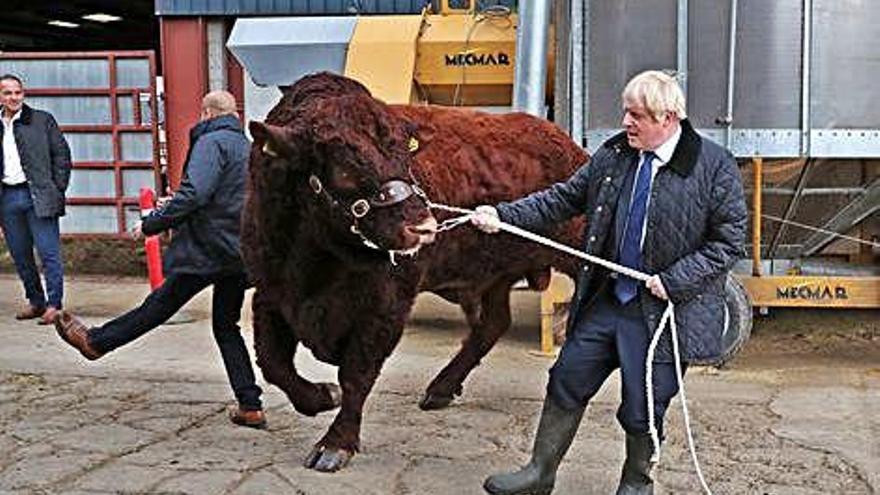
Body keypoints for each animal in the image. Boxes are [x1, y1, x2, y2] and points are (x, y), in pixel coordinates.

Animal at [242, 73, 584, 472]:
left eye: (406, 155)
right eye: (343, 167)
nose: (423, 227)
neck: (315, 261)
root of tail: (562, 141)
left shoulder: (386, 306)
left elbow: (357, 373)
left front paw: (335, 444)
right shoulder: (270, 293)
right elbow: (273, 362)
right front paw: (322, 396)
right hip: (492, 275)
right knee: (493, 323)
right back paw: (439, 389)